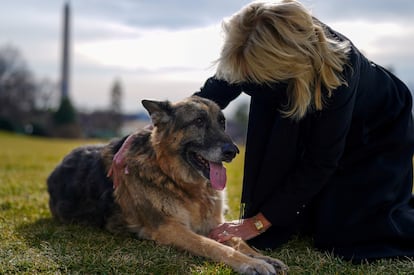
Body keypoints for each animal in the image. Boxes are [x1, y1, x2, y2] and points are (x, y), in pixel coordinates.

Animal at [47, 96, 286, 274]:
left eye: (222, 122)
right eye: (198, 121)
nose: (233, 151)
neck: (175, 178)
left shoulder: (215, 224)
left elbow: (238, 240)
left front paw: (262, 257)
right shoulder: (170, 229)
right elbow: (214, 246)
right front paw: (252, 263)